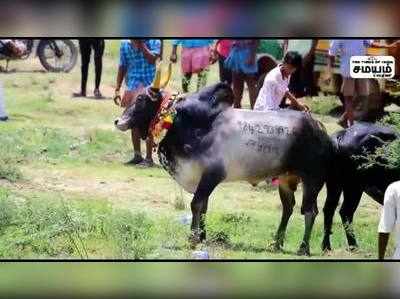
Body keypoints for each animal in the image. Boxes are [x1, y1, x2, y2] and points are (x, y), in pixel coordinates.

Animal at [114, 83, 398, 256]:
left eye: (141, 99)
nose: (118, 120)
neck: (184, 123)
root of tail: (325, 133)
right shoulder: (204, 179)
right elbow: (203, 206)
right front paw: (201, 236)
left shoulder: (211, 175)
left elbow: (196, 204)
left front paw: (194, 238)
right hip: (286, 180)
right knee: (289, 209)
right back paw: (276, 242)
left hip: (313, 180)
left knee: (311, 211)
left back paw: (303, 248)